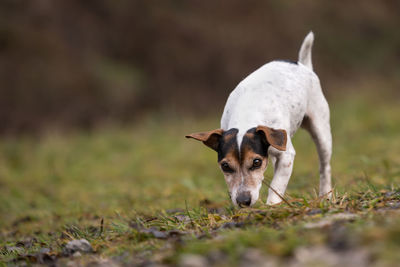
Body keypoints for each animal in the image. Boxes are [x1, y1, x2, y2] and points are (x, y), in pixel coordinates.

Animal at [186, 32, 332, 208]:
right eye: (225, 166)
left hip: (321, 133)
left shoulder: (286, 156)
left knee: (324, 167)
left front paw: (271, 207)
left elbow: (276, 186)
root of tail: (302, 64)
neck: (246, 115)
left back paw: (326, 196)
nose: (243, 201)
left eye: (256, 162)